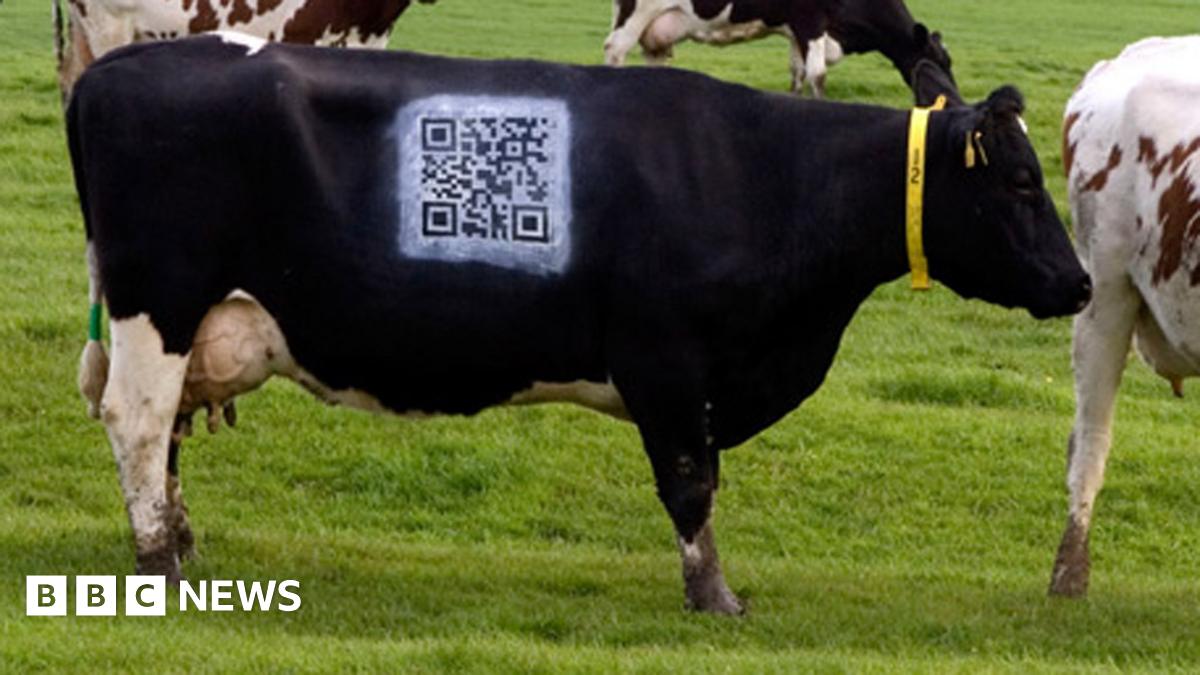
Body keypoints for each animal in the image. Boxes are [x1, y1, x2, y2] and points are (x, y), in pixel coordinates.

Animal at [68, 35, 1090, 614]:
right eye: (1019, 181)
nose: (1078, 283)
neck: (765, 176)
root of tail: (117, 65)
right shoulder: (666, 360)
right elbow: (690, 484)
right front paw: (714, 596)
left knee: (162, 432)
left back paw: (181, 539)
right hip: (158, 301)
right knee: (138, 422)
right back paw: (159, 561)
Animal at [603, 0, 955, 100]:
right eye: (939, 60)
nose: (953, 93)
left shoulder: (796, 31)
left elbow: (798, 72)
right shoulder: (811, 21)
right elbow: (818, 75)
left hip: (657, 33)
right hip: (636, 13)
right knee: (614, 50)